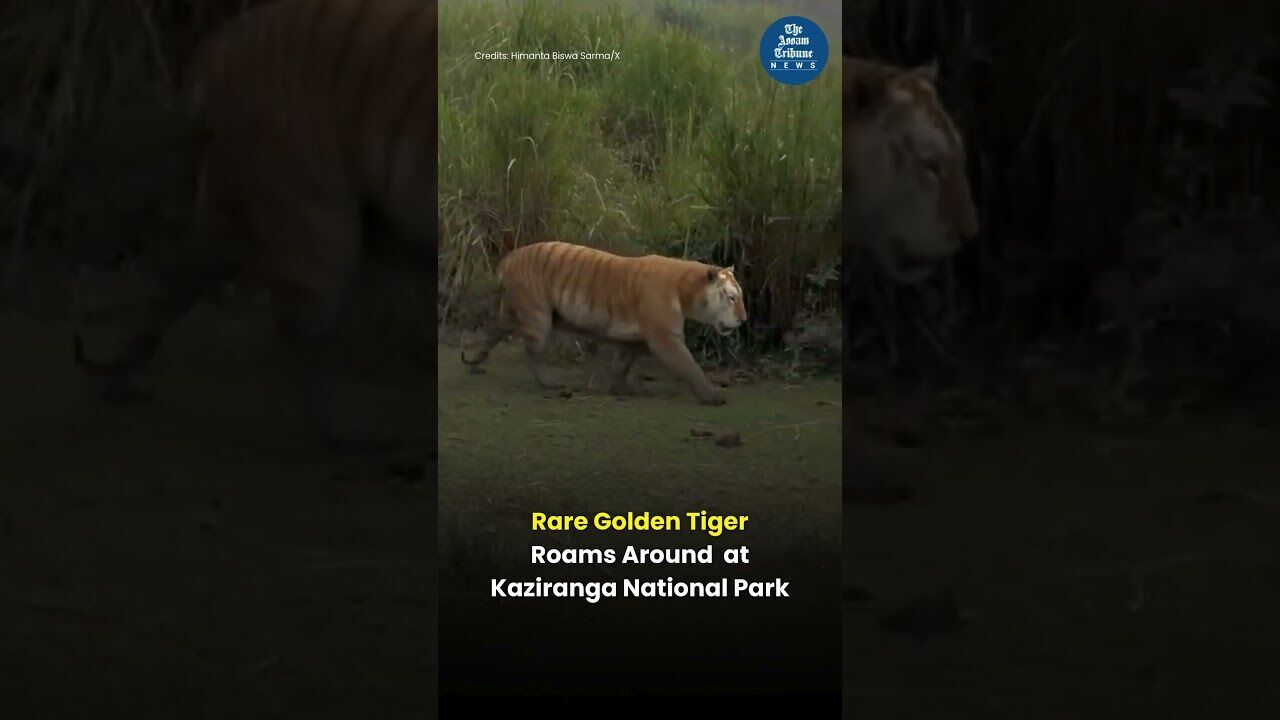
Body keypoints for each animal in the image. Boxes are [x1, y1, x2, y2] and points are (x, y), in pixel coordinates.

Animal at [71, 0, 439, 452]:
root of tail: (217, 51)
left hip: (261, 209)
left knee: (180, 277)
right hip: (317, 222)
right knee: (295, 336)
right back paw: (365, 437)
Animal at [461, 241, 746, 406]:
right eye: (732, 297)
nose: (743, 319)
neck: (686, 291)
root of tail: (509, 258)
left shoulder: (636, 339)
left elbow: (622, 363)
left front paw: (621, 388)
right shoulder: (666, 337)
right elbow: (690, 367)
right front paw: (713, 396)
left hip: (511, 311)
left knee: (492, 332)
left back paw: (474, 362)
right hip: (537, 314)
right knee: (534, 350)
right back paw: (550, 383)